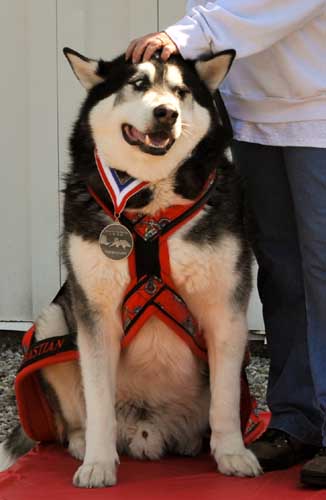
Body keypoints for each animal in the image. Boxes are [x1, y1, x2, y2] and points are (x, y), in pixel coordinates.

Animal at [0, 47, 262, 488]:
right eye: (138, 84)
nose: (166, 113)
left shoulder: (226, 310)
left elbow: (226, 401)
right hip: (52, 323)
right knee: (77, 416)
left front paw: (232, 454)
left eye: (181, 91)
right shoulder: (95, 313)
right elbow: (98, 400)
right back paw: (81, 442)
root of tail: (148, 431)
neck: (150, 201)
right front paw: (98, 463)